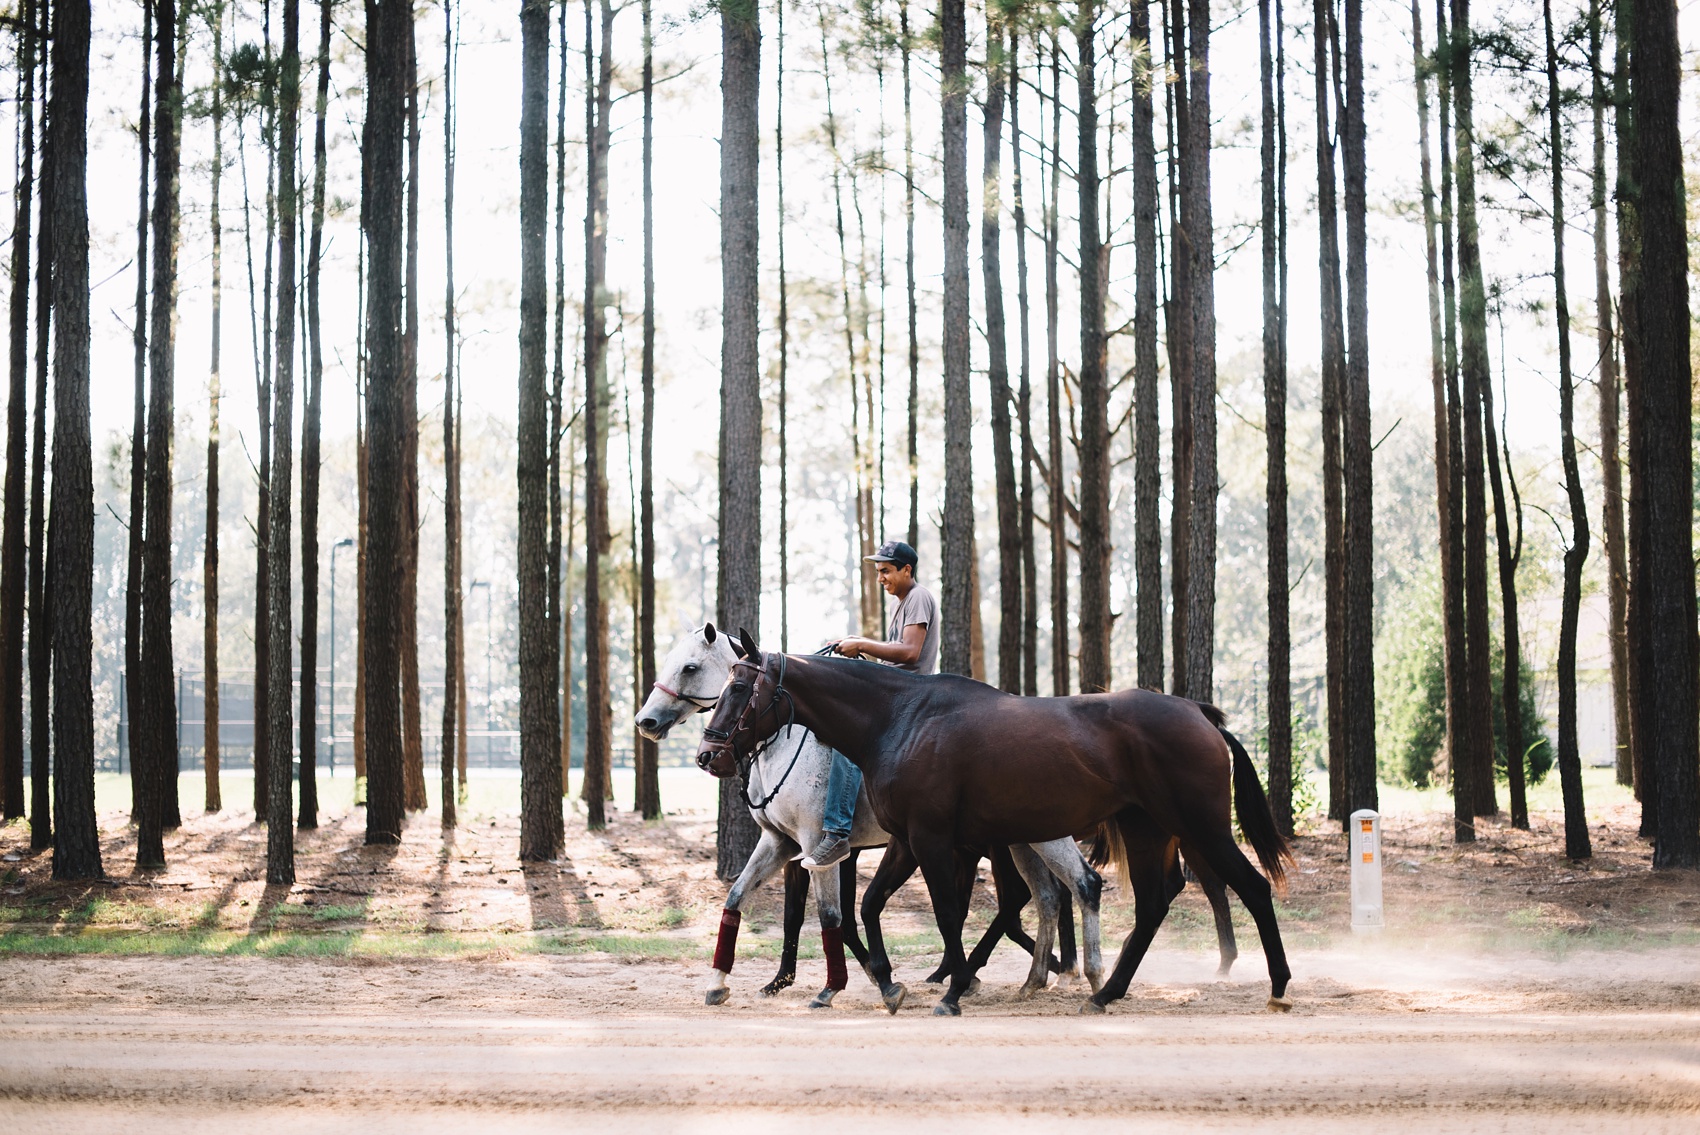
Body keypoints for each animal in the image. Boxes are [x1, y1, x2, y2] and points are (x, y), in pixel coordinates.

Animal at [635, 621, 1101, 1012]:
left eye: (690, 667)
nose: (646, 721)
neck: (785, 742)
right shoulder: (783, 845)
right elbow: (753, 903)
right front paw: (738, 981)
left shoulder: (818, 845)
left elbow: (831, 917)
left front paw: (845, 985)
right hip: (1014, 840)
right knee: (1045, 897)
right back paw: (1034, 976)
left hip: (1024, 837)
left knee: (1054, 891)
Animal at [697, 628, 1292, 1019]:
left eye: (739, 689)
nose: (708, 755)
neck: (900, 720)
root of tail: (1197, 712)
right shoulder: (905, 842)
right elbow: (867, 907)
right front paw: (891, 983)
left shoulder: (927, 841)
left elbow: (942, 912)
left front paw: (953, 988)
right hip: (1145, 831)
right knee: (1150, 902)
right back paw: (1103, 990)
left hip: (1198, 827)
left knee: (1248, 887)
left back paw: (1277, 985)